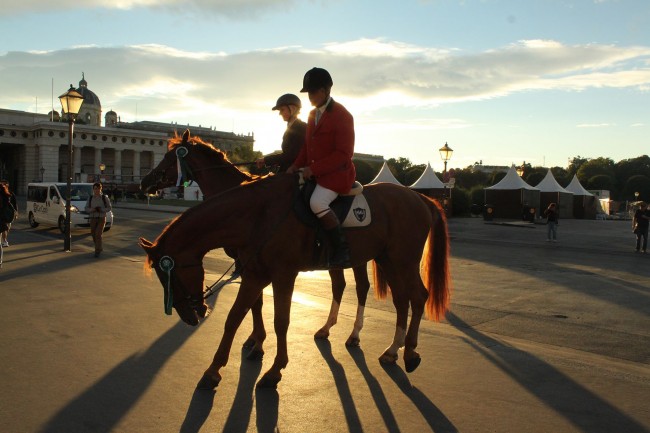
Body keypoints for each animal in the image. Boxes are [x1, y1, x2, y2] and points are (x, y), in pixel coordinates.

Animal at [138, 130, 370, 350]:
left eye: (169, 157)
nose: (144, 181)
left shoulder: (247, 261)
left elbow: (256, 303)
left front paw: (257, 340)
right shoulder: (248, 261)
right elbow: (255, 301)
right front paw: (255, 337)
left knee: (361, 287)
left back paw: (354, 335)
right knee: (340, 285)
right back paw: (327, 328)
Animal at [139, 161, 448, 388]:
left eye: (170, 274)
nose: (190, 316)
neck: (258, 214)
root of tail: (419, 197)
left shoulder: (284, 276)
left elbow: (281, 321)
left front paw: (274, 368)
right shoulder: (253, 275)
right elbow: (235, 317)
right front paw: (215, 369)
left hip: (402, 261)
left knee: (417, 296)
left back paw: (408, 353)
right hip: (387, 260)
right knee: (400, 300)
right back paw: (392, 350)